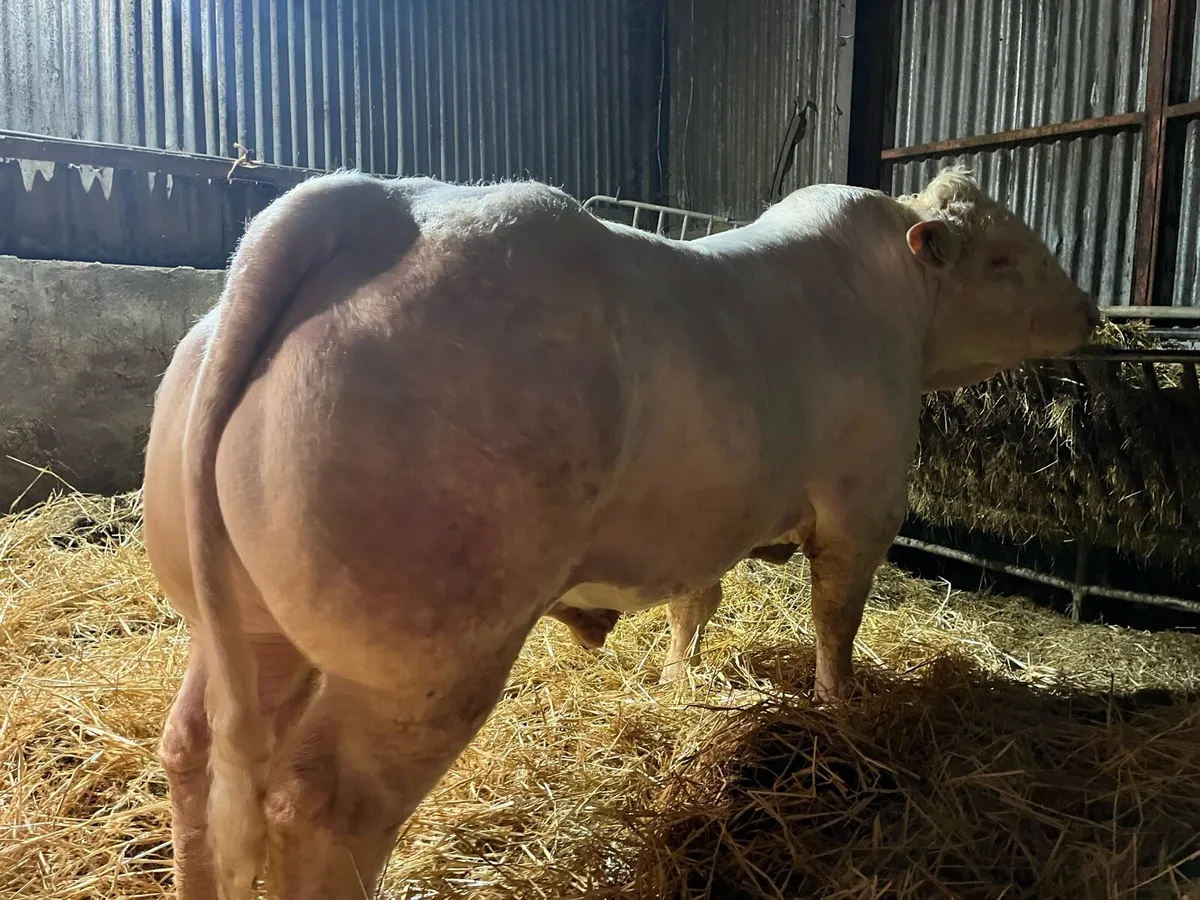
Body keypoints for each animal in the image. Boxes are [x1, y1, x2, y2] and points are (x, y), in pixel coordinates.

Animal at [142, 165, 1098, 899]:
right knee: (321, 809)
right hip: (426, 657)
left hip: (247, 625)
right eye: (1005, 258)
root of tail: (364, 205)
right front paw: (843, 713)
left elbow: (696, 600)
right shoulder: (861, 503)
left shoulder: (708, 522)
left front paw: (678, 681)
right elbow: (836, 621)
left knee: (196, 753)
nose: (1089, 310)